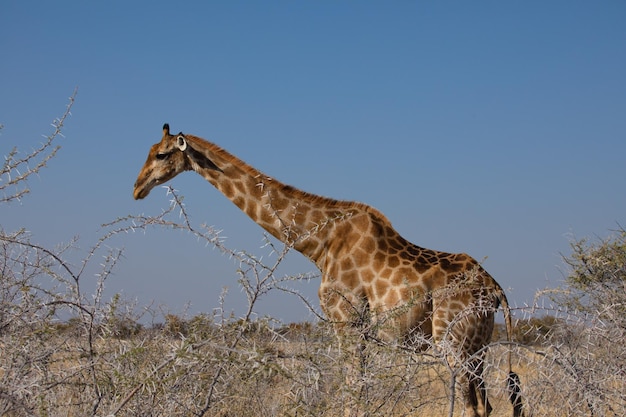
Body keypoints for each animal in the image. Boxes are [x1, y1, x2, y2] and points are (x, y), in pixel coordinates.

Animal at [134, 124, 524, 416]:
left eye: (162, 154)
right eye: (150, 150)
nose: (137, 187)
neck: (319, 244)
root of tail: (495, 289)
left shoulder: (346, 322)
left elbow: (353, 397)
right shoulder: (357, 330)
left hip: (454, 343)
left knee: (473, 407)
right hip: (479, 347)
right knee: (487, 406)